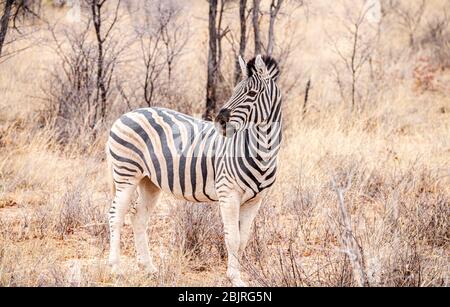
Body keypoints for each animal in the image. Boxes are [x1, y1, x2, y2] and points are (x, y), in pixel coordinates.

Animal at [105, 54, 282, 288]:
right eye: (234, 90)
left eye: (251, 94)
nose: (219, 122)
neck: (263, 150)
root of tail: (125, 115)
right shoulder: (228, 193)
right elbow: (233, 238)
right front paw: (234, 279)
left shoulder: (255, 200)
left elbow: (243, 239)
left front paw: (238, 276)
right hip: (126, 173)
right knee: (116, 216)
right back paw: (116, 269)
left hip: (149, 182)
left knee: (138, 217)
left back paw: (149, 268)